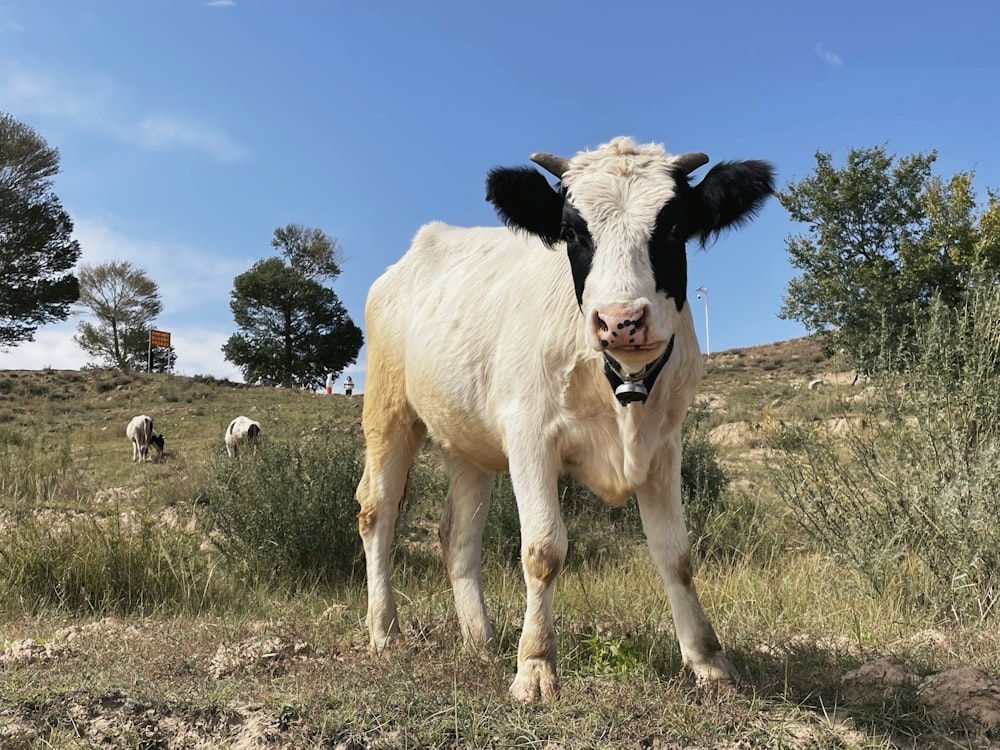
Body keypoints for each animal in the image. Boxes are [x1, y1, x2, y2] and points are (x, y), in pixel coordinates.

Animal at [356, 137, 776, 704]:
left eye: (671, 227)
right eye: (573, 232)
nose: (620, 320)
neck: (620, 381)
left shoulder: (665, 444)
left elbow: (677, 554)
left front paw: (708, 661)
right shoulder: (530, 435)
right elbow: (543, 550)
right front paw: (535, 665)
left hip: (470, 442)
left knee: (458, 535)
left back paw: (480, 640)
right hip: (388, 408)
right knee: (376, 511)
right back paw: (385, 630)